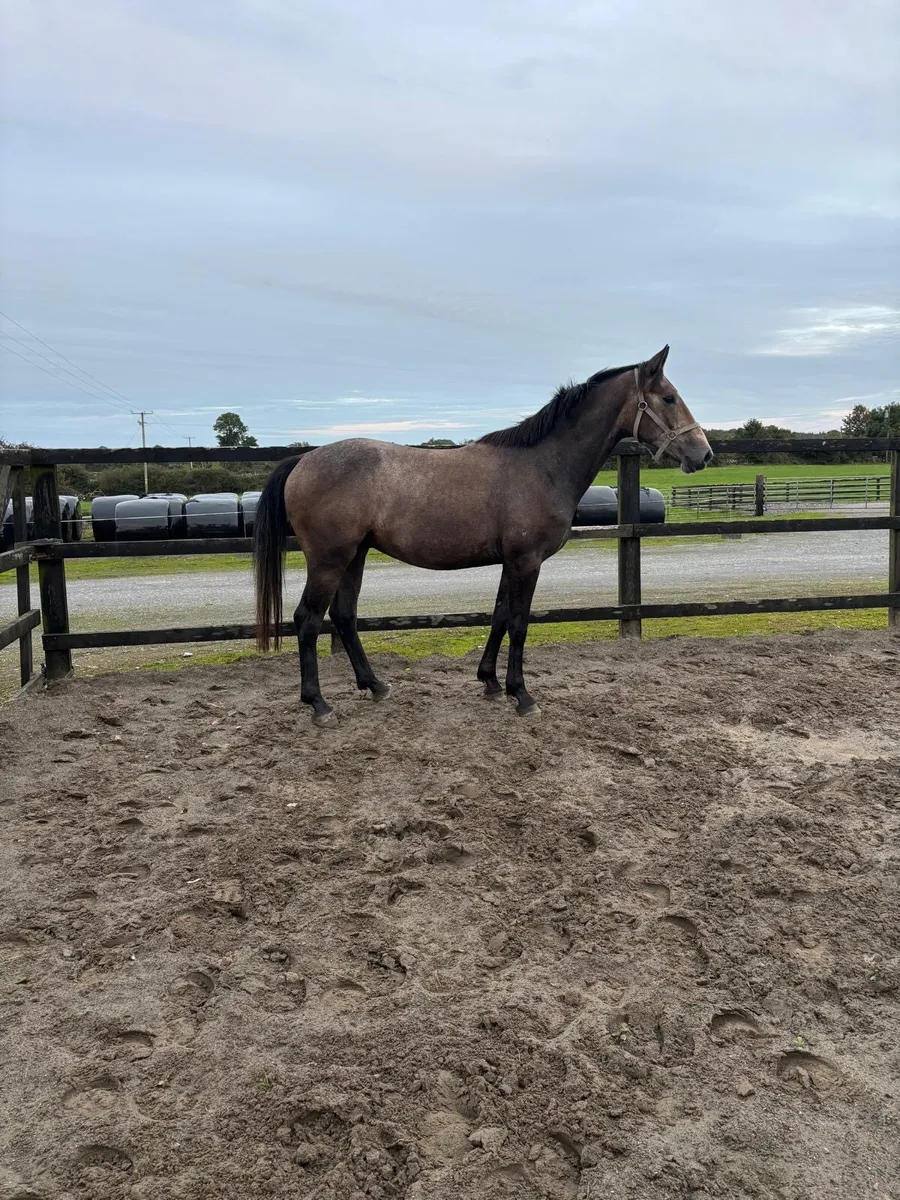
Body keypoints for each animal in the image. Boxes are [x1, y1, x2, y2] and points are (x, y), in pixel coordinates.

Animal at [253, 345, 712, 723]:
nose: (703, 454)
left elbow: (499, 617)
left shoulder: (511, 561)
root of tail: (303, 460)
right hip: (329, 559)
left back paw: (375, 685)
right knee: (308, 620)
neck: (542, 465)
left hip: (356, 555)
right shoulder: (527, 561)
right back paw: (318, 704)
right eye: (669, 398)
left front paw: (490, 682)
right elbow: (520, 623)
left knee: (344, 617)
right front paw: (522, 695)